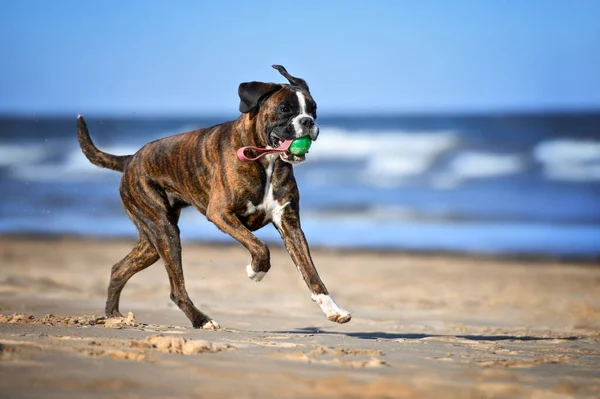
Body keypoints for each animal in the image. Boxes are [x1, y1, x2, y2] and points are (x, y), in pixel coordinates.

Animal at [78, 65, 352, 328]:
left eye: (313, 109)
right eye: (285, 109)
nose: (307, 121)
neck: (267, 159)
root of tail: (131, 159)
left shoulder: (291, 225)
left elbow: (310, 272)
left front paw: (333, 309)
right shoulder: (221, 214)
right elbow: (260, 246)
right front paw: (256, 271)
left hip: (152, 242)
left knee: (119, 269)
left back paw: (114, 316)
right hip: (164, 231)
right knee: (175, 289)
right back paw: (201, 320)